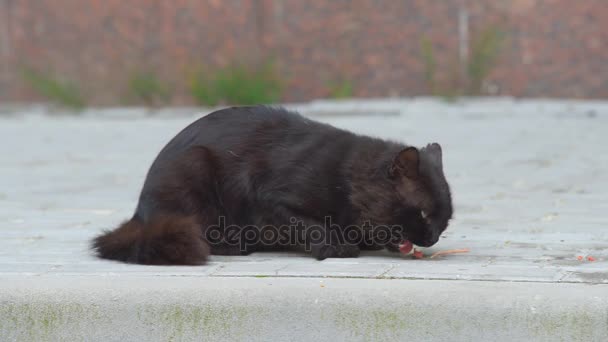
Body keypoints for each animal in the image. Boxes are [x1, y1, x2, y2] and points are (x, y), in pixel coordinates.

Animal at [90, 105, 452, 266]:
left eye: (445, 221)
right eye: (422, 213)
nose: (432, 237)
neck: (347, 177)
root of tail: (140, 214)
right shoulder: (269, 197)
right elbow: (309, 224)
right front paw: (334, 246)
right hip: (194, 167)